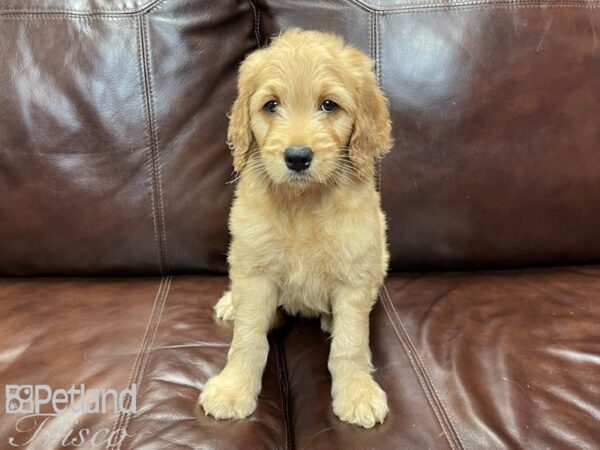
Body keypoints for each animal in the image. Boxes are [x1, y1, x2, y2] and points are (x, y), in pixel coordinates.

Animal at [199, 28, 392, 428]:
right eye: (271, 105)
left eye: (329, 105)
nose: (298, 157)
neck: (303, 202)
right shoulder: (254, 271)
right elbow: (247, 339)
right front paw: (234, 388)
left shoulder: (355, 273)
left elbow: (350, 344)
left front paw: (357, 392)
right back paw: (232, 303)